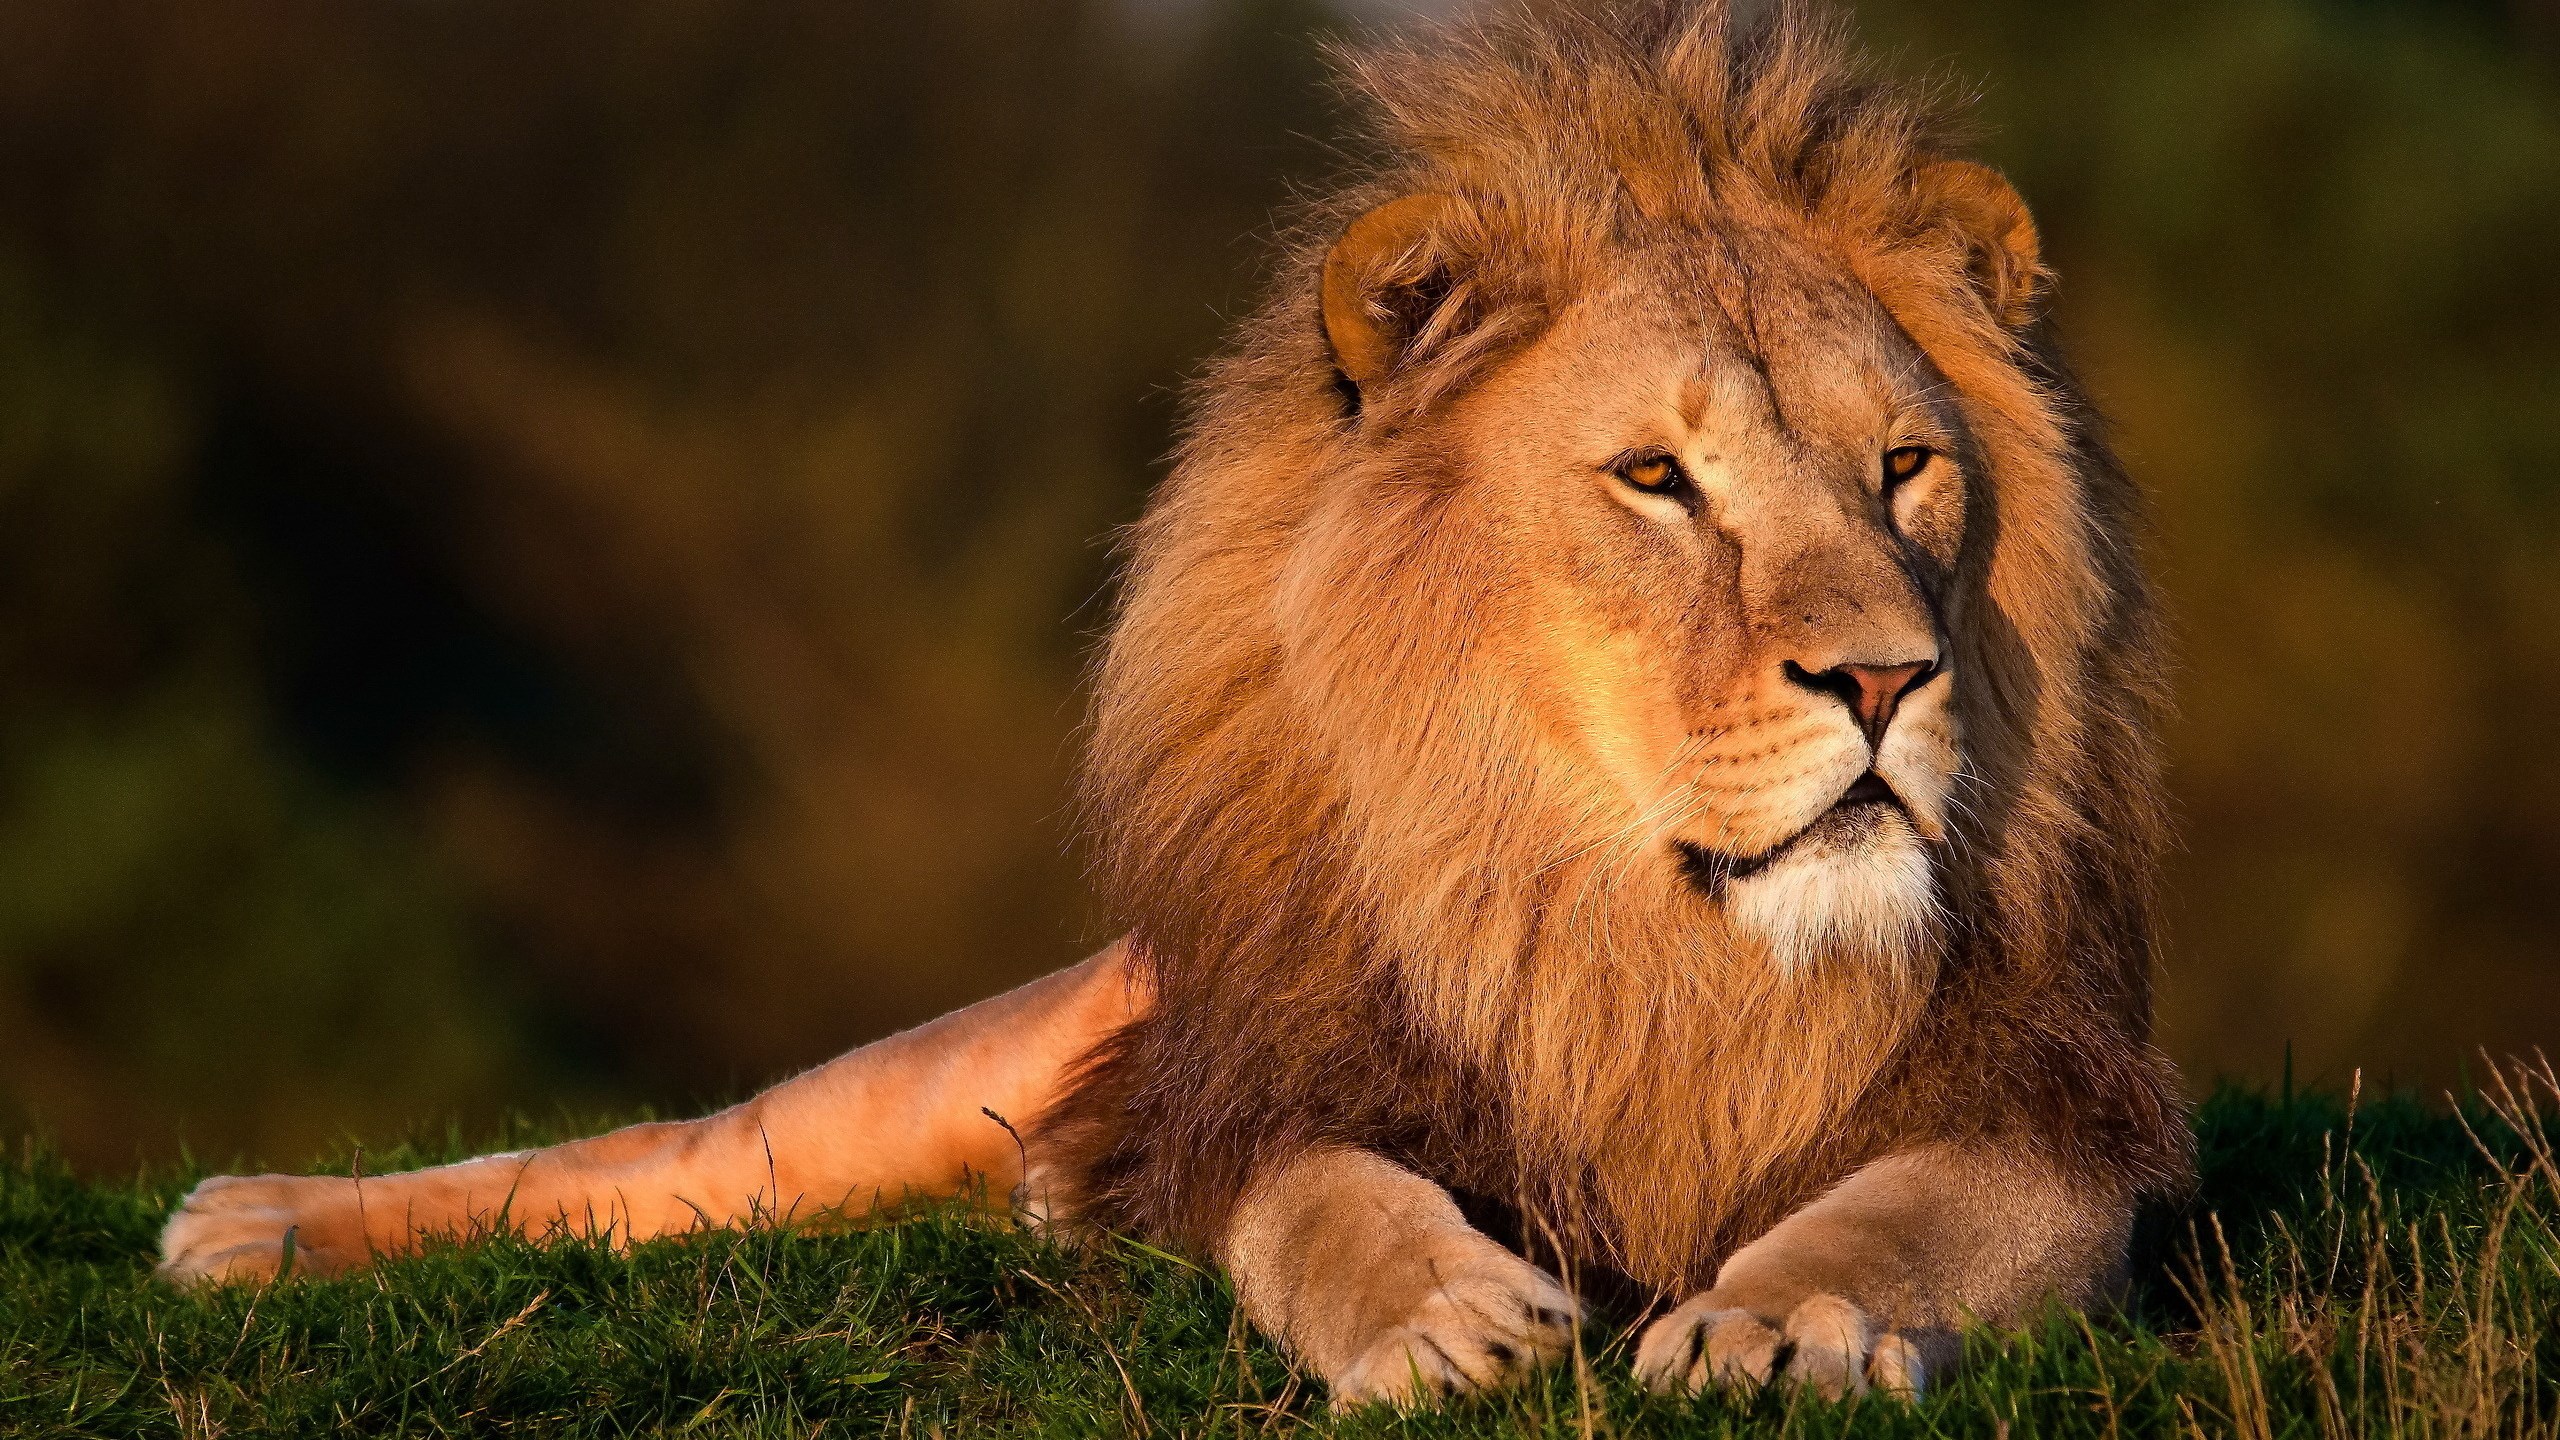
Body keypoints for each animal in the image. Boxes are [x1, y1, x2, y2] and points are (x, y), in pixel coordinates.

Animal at [158, 0, 2191, 1409]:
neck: (1636, 939)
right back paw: (248, 1220)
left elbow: (1907, 1215)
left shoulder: (2054, 1119)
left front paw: (1778, 1319)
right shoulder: (1260, 1084)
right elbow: (1322, 1202)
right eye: (1657, 481)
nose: (1886, 676)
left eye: (1906, 468)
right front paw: (1444, 1318)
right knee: (666, 1161)